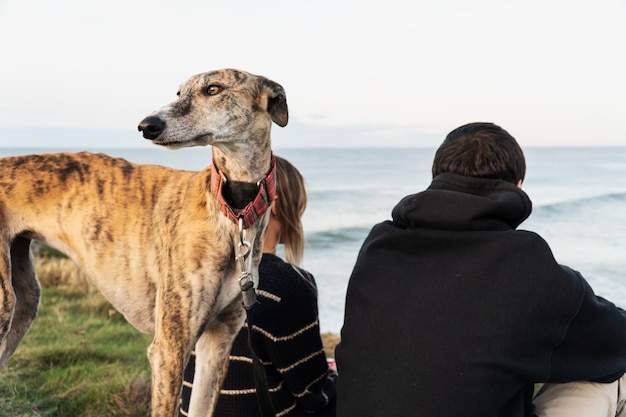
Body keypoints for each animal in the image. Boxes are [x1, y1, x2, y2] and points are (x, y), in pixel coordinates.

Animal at [0, 69, 288, 416]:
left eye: (213, 89)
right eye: (178, 92)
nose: (146, 125)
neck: (232, 207)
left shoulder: (218, 343)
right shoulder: (169, 349)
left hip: (24, 302)